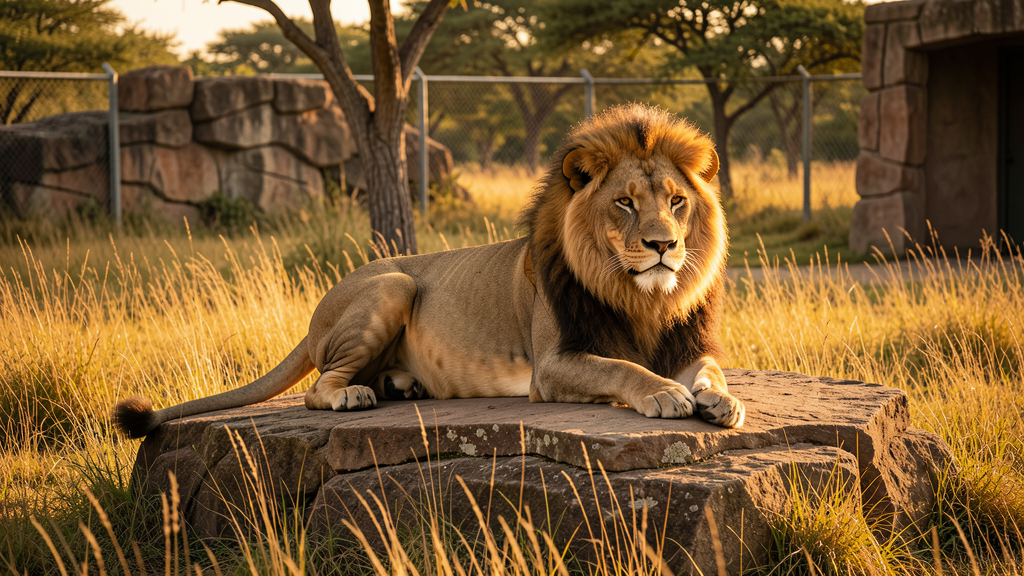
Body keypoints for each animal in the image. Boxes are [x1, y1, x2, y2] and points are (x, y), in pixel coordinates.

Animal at [113, 103, 745, 439]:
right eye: (625, 203)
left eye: (676, 201)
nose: (664, 245)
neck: (643, 296)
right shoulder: (552, 366)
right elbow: (623, 369)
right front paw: (665, 395)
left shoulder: (686, 345)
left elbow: (713, 370)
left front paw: (722, 402)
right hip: (395, 284)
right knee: (319, 387)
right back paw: (355, 396)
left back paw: (399, 384)